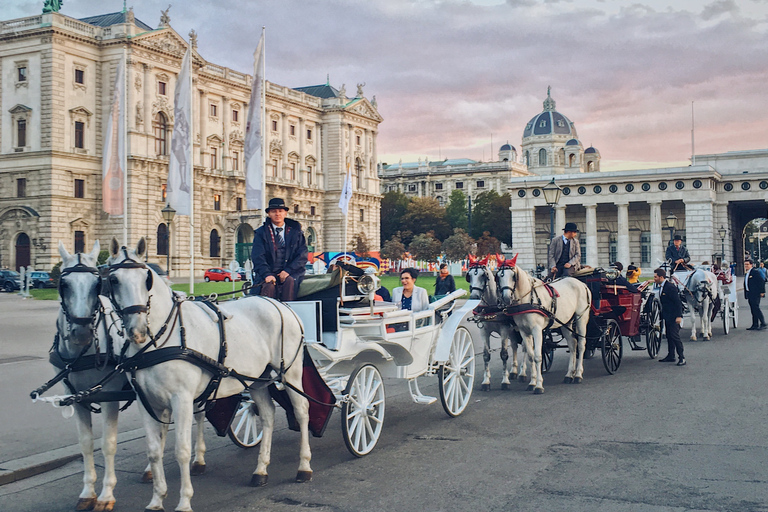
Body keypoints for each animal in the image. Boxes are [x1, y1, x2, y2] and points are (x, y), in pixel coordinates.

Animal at [53, 242, 207, 510]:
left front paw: (106, 494)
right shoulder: (78, 398)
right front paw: (87, 492)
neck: (83, 352)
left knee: (198, 416)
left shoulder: (109, 398)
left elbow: (108, 444)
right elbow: (86, 444)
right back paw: (151, 470)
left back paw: (198, 459)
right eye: (64, 284)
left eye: (97, 284)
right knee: (162, 426)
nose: (81, 332)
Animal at [108, 240, 312, 512]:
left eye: (147, 279)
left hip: (291, 372)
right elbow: (154, 450)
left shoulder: (182, 400)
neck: (160, 341)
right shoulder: (146, 402)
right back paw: (260, 470)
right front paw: (157, 499)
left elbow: (182, 450)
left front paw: (184, 501)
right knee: (268, 415)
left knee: (302, 411)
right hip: (257, 380)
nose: (137, 331)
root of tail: (280, 304)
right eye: (113, 279)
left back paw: (304, 466)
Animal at [496, 262, 592, 394]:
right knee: (573, 345)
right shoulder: (524, 331)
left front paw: (539, 385)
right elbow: (531, 356)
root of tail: (582, 284)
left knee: (582, 344)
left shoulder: (537, 330)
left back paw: (578, 374)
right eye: (498, 277)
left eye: (513, 276)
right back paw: (569, 375)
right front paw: (532, 382)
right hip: (566, 322)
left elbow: (537, 356)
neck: (528, 300)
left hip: (581, 318)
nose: (506, 298)